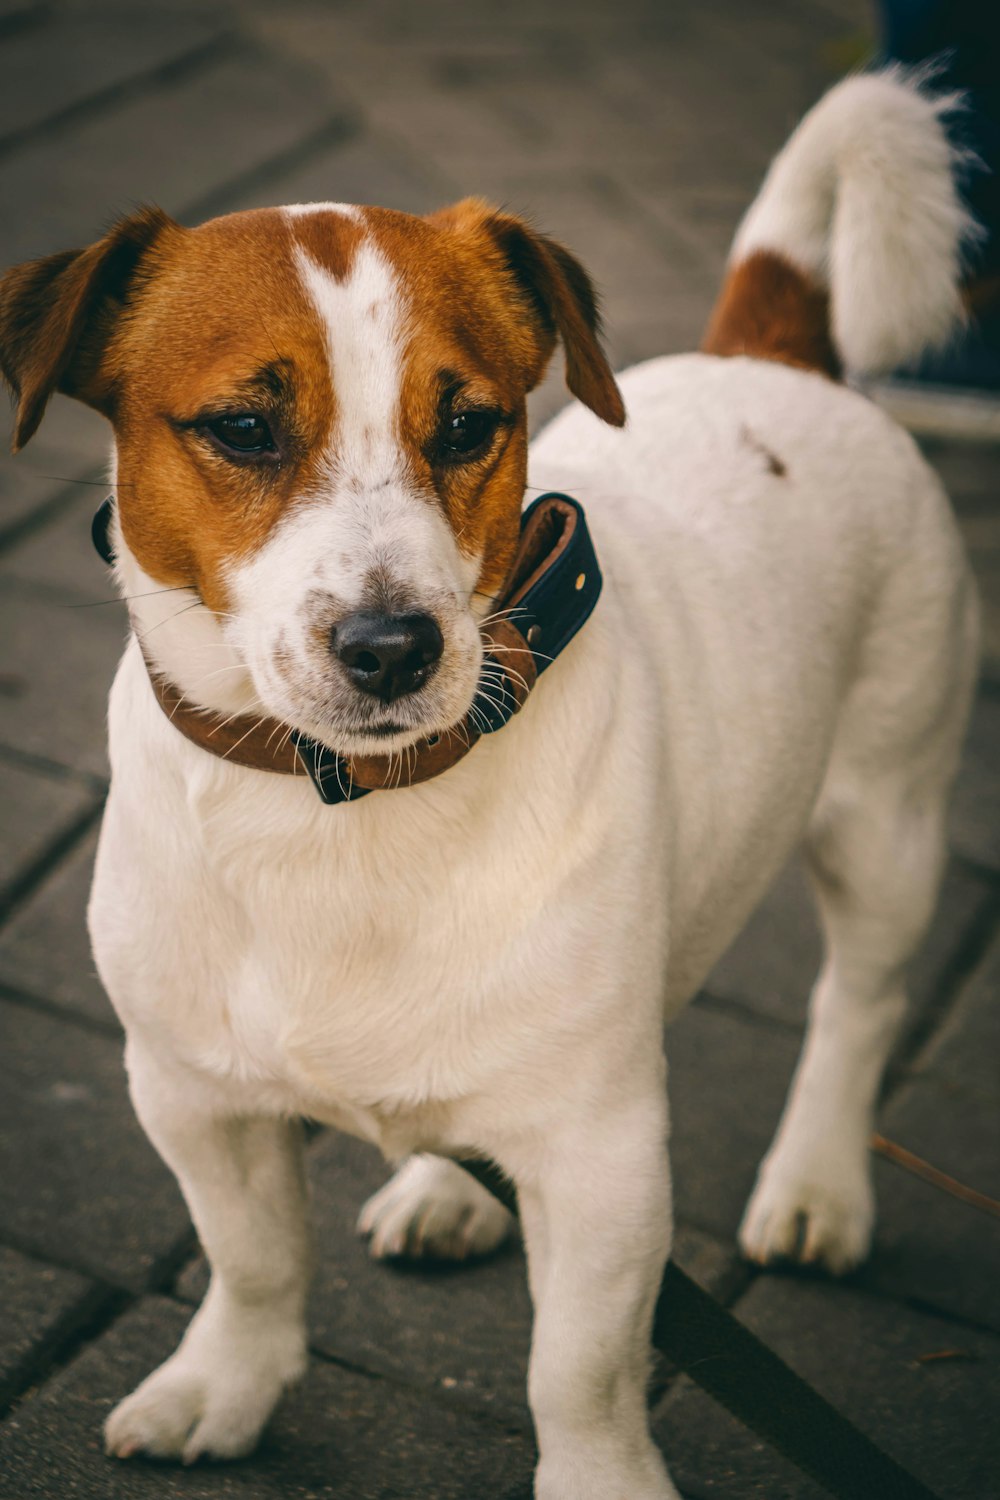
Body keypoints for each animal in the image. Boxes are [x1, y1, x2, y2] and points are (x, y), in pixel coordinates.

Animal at [0, 67, 983, 1500]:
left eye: (468, 424)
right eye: (241, 427)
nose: (393, 645)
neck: (346, 804)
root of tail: (772, 352)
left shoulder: (602, 1153)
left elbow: (578, 1369)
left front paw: (602, 1483)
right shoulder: (190, 1096)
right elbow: (253, 1262)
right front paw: (224, 1388)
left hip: (888, 819)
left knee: (855, 1004)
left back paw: (816, 1186)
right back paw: (448, 1186)